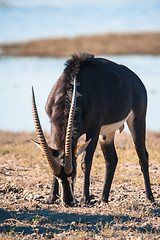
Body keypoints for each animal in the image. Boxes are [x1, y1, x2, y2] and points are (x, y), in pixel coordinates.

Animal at [31, 51, 154, 205]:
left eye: (73, 172)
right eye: (57, 175)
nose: (68, 201)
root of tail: (135, 79)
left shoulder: (93, 130)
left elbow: (86, 161)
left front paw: (85, 198)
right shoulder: (53, 126)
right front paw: (51, 198)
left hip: (137, 121)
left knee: (143, 156)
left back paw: (149, 197)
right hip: (106, 134)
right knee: (112, 160)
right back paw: (103, 198)